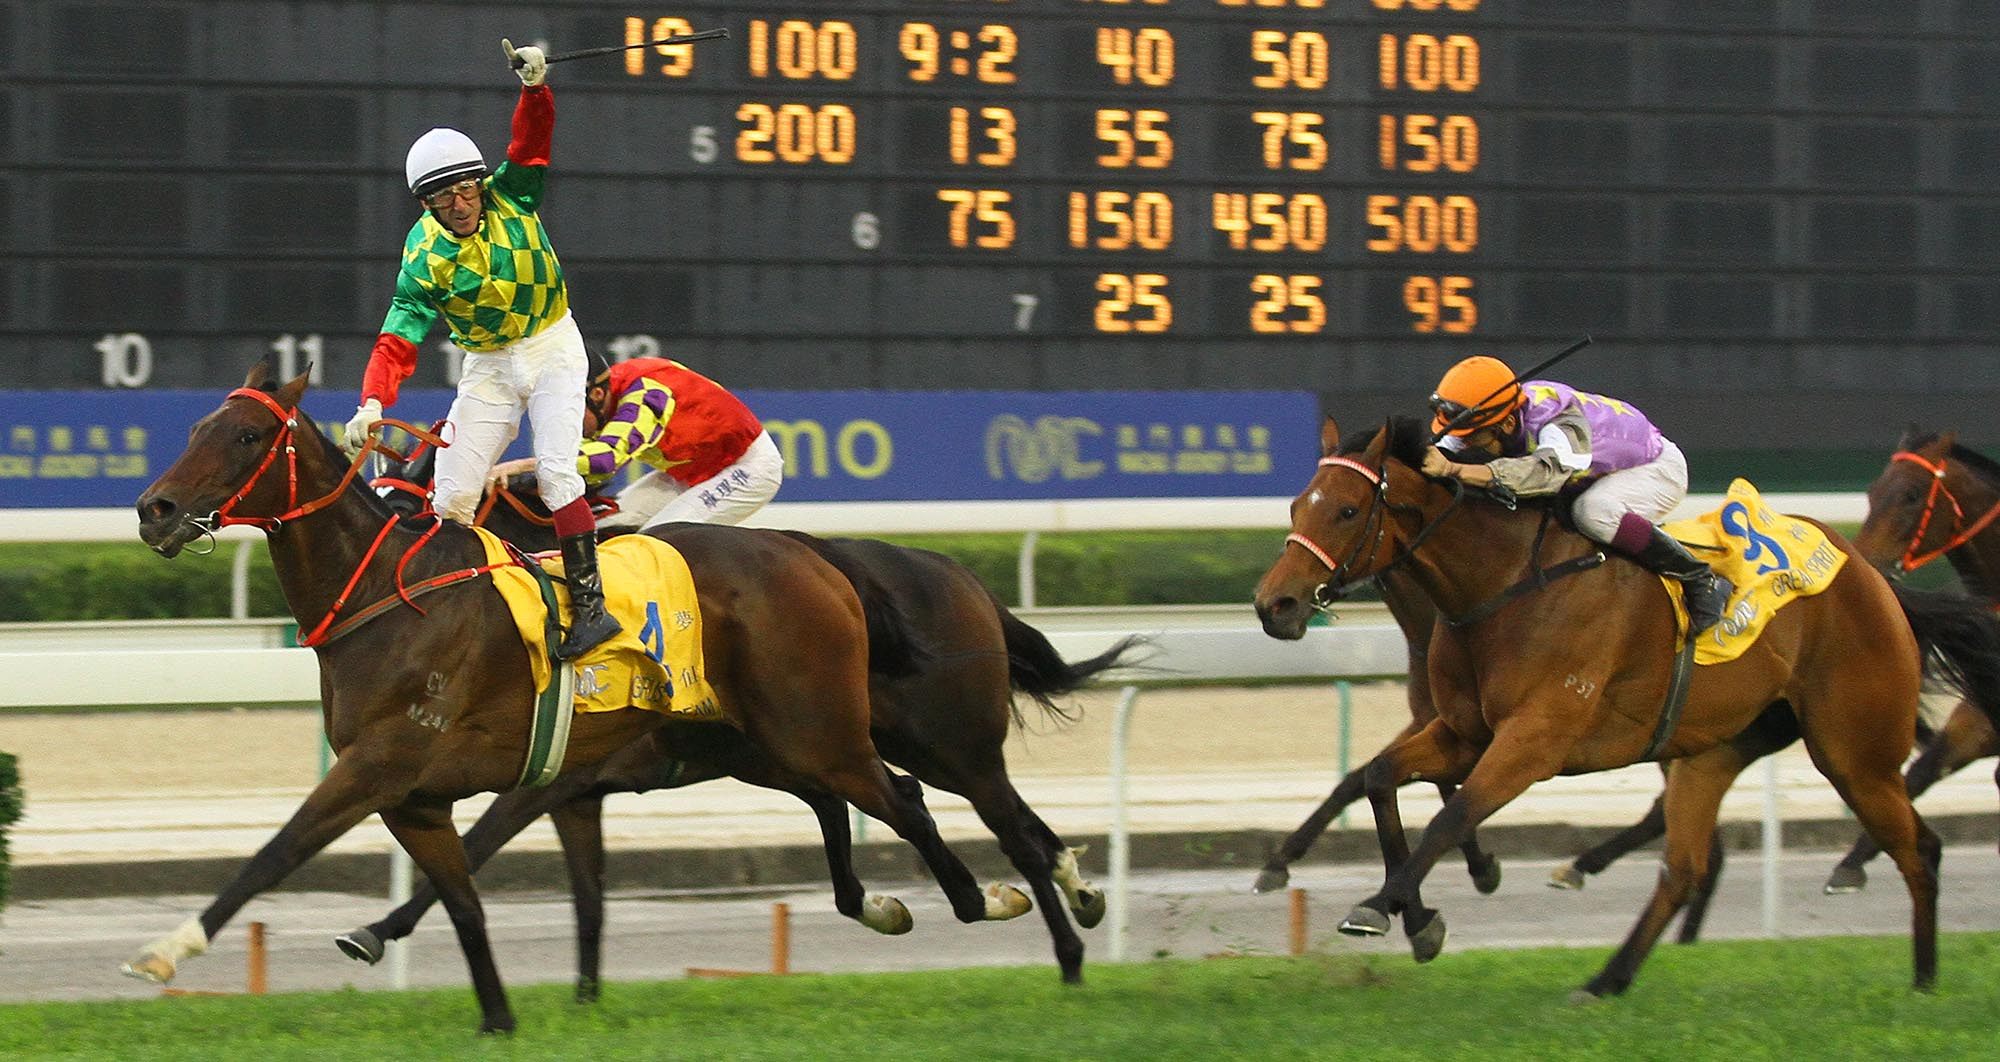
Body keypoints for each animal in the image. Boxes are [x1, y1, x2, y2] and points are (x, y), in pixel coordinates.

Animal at [131, 366, 1016, 1032]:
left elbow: (278, 853)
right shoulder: (428, 796)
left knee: (907, 800)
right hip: (773, 742)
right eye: (196, 428)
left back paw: (986, 896)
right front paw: (502, 1017)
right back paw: (910, 903)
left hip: (819, 729)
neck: (388, 593)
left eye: (245, 437)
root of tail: (816, 559)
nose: (155, 509)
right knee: (857, 802)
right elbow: (479, 900)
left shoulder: (390, 766)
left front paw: (170, 949)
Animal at [1248, 420, 2000, 1000]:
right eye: (1297, 505)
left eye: (1347, 511)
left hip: (1852, 750)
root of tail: (1874, 580)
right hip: (1713, 751)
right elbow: (1377, 779)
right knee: (1685, 868)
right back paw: (1605, 979)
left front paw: (1380, 906)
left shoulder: (1534, 740)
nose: (1273, 604)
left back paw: (1923, 979)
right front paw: (1419, 919)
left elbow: (1452, 813)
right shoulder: (1465, 731)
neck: (1504, 585)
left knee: (1918, 845)